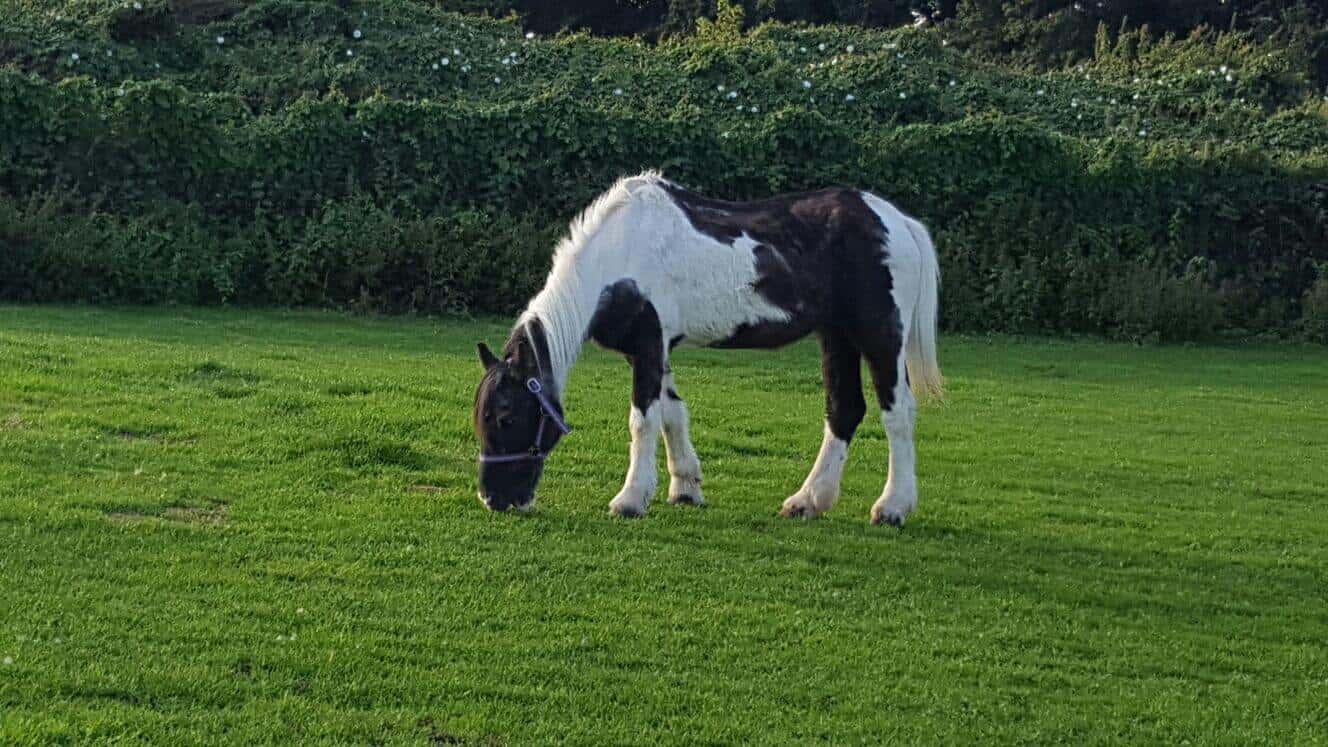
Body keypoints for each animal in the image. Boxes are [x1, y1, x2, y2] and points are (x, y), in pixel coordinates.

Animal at [473, 171, 942, 525]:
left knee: (898, 414)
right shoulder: (654, 351)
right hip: (836, 336)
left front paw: (630, 499)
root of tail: (897, 222)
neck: (619, 255)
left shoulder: (648, 345)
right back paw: (807, 501)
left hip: (879, 335)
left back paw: (892, 508)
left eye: (506, 416)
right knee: (843, 410)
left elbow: (643, 421)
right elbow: (672, 415)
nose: (493, 499)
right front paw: (685, 488)